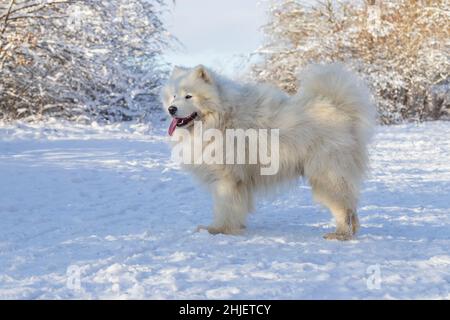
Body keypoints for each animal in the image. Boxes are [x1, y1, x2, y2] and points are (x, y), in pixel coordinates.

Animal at [160, 63, 374, 240]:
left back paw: (341, 234)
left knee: (343, 207)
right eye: (174, 96)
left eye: (188, 96)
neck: (222, 117)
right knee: (351, 204)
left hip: (326, 174)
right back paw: (352, 231)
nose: (171, 109)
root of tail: (338, 107)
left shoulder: (227, 178)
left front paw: (218, 229)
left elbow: (224, 206)